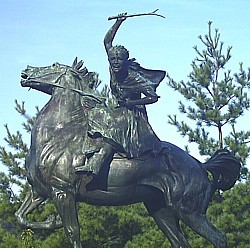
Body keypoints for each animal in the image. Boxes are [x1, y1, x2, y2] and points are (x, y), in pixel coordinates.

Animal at [15, 58, 240, 248]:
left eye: (53, 65)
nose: (25, 72)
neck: (58, 135)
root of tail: (201, 165)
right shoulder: (39, 191)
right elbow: (21, 218)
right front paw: (52, 221)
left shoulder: (62, 192)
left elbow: (72, 232)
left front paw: (56, 222)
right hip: (161, 211)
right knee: (181, 242)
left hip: (189, 211)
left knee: (219, 238)